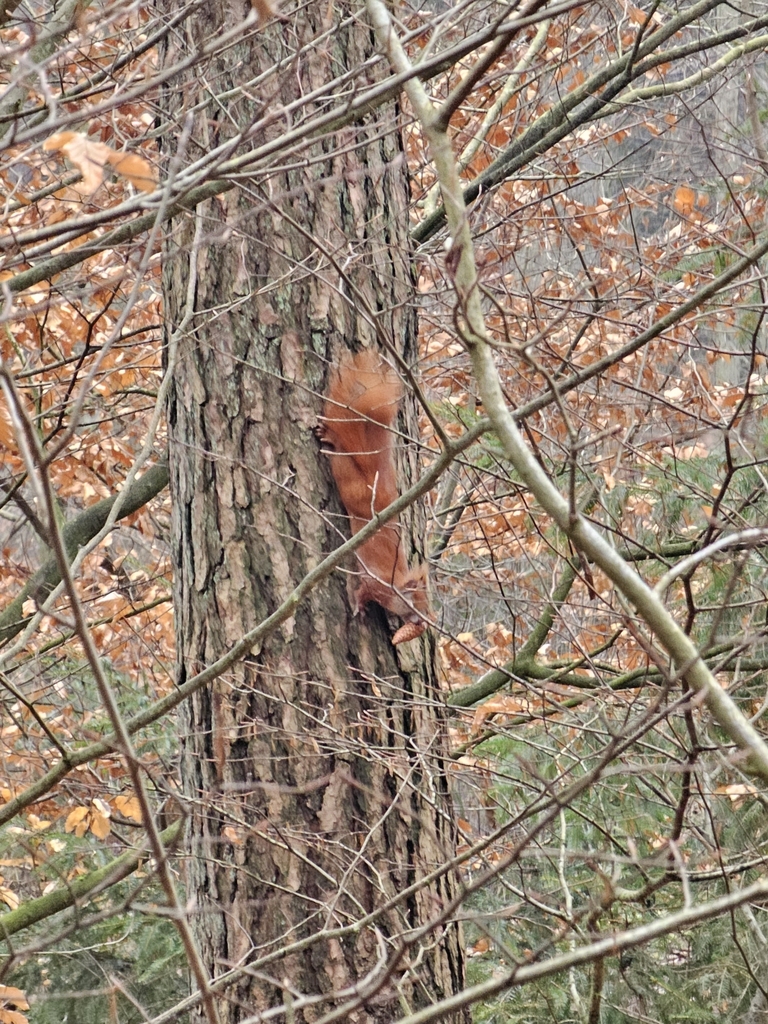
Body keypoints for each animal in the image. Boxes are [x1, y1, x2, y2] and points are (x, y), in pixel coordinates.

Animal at [318, 349, 428, 643]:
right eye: (416, 605)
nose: (423, 624)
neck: (396, 581)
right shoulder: (374, 583)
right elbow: (361, 593)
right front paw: (359, 608)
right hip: (347, 479)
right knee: (340, 459)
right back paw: (330, 441)